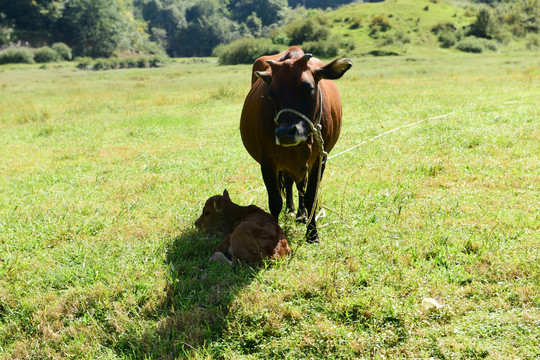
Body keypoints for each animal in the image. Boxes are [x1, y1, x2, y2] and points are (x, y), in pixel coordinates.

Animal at [239, 45, 350, 242]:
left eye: (308, 88)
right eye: (270, 94)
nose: (285, 133)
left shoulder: (319, 160)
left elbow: (311, 196)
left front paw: (312, 234)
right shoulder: (268, 161)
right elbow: (275, 201)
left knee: (299, 186)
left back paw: (300, 214)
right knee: (290, 184)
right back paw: (291, 210)